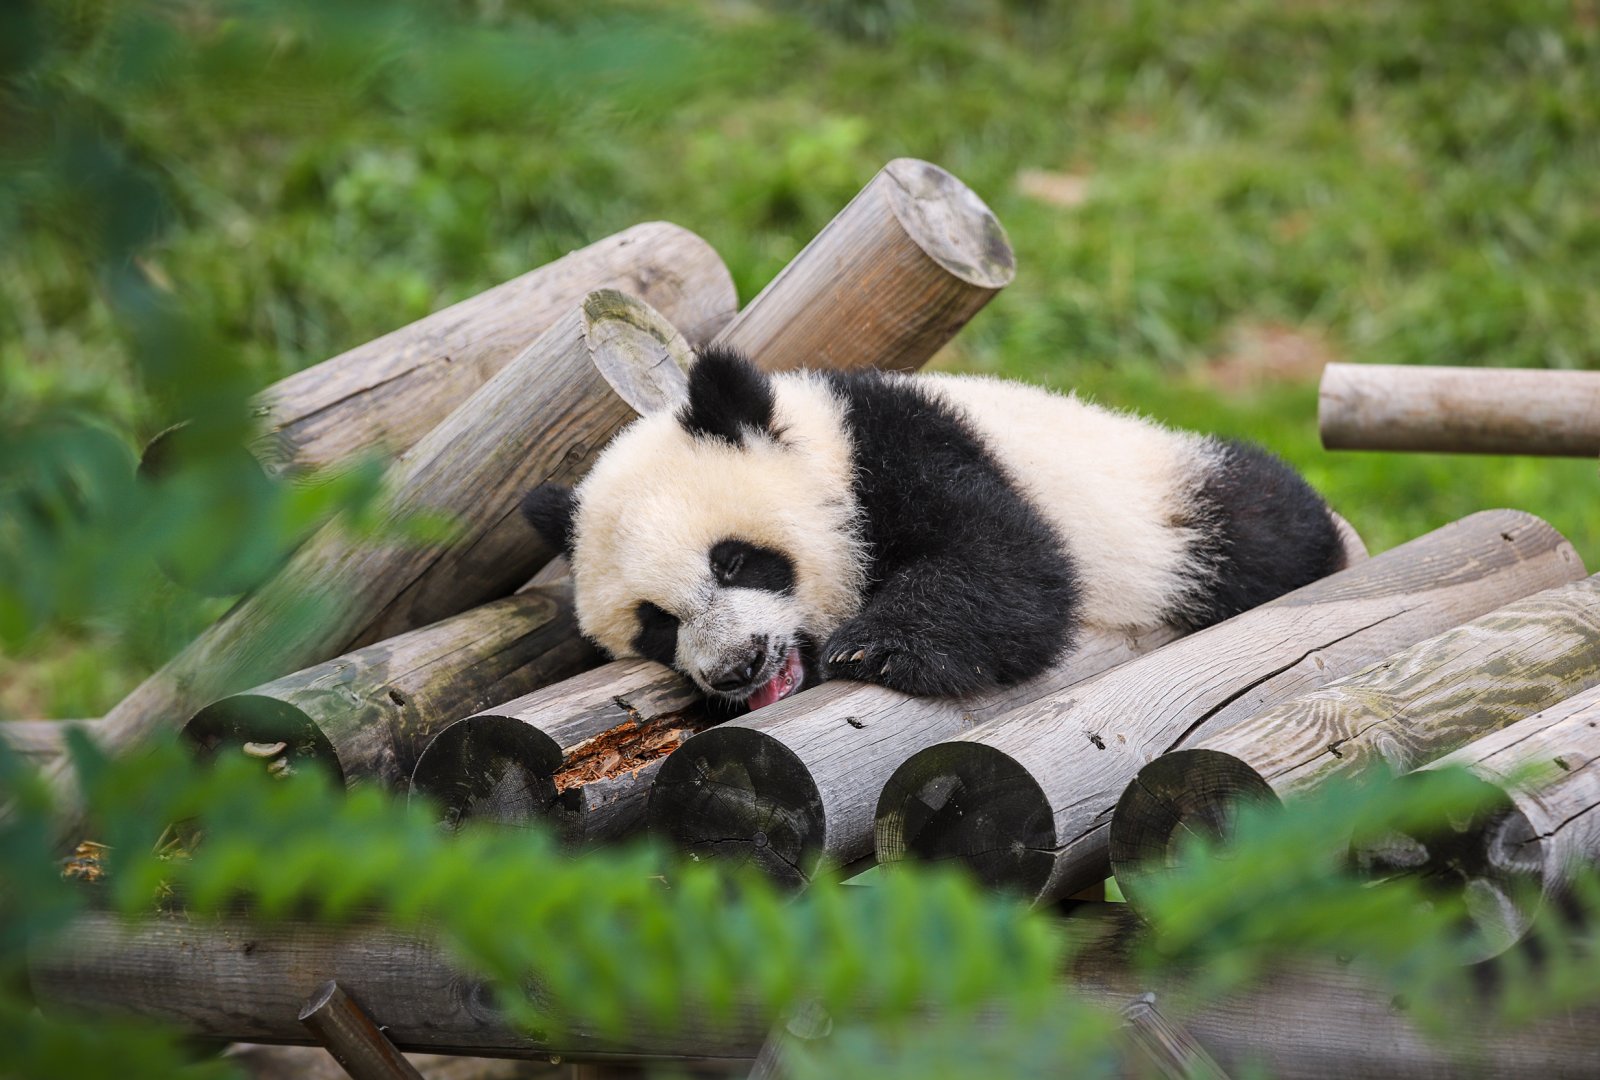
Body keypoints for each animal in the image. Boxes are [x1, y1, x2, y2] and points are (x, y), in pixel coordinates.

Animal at [522, 346, 1347, 713]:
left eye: (734, 561)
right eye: (655, 624)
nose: (737, 667)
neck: (822, 440)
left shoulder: (902, 446)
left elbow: (1010, 565)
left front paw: (880, 647)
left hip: (1172, 503)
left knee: (1258, 523)